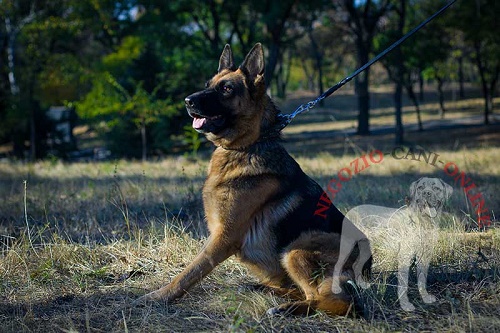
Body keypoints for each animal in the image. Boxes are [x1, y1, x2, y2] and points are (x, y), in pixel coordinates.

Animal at [137, 42, 372, 316]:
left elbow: (190, 271)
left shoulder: (224, 237)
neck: (247, 146)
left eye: (226, 89)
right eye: (208, 83)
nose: (187, 101)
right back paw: (263, 289)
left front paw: (158, 296)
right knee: (303, 290)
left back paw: (285, 308)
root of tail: (369, 264)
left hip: (296, 249)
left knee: (334, 301)